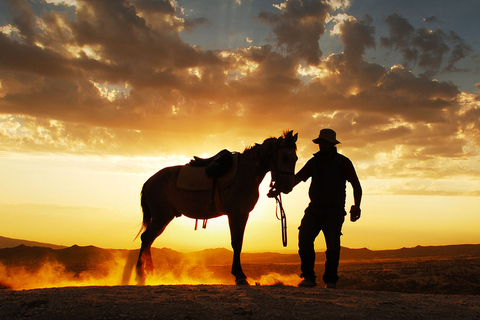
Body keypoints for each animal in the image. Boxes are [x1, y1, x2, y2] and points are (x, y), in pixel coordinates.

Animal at [135, 130, 298, 284]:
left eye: (296, 158)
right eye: (285, 157)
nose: (287, 186)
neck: (245, 172)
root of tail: (149, 181)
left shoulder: (243, 213)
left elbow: (239, 242)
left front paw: (239, 274)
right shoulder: (235, 213)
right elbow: (236, 242)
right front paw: (239, 275)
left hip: (164, 217)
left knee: (149, 239)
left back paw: (149, 272)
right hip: (161, 217)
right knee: (146, 237)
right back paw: (140, 274)